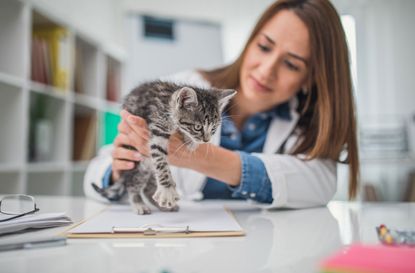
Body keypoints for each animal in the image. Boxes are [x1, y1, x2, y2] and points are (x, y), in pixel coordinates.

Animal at [92, 79, 236, 214]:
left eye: (213, 128)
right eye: (198, 127)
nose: (206, 140)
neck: (168, 103)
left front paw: (190, 141)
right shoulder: (157, 128)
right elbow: (161, 160)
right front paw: (167, 190)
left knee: (147, 186)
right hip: (138, 157)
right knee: (132, 182)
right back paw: (138, 203)